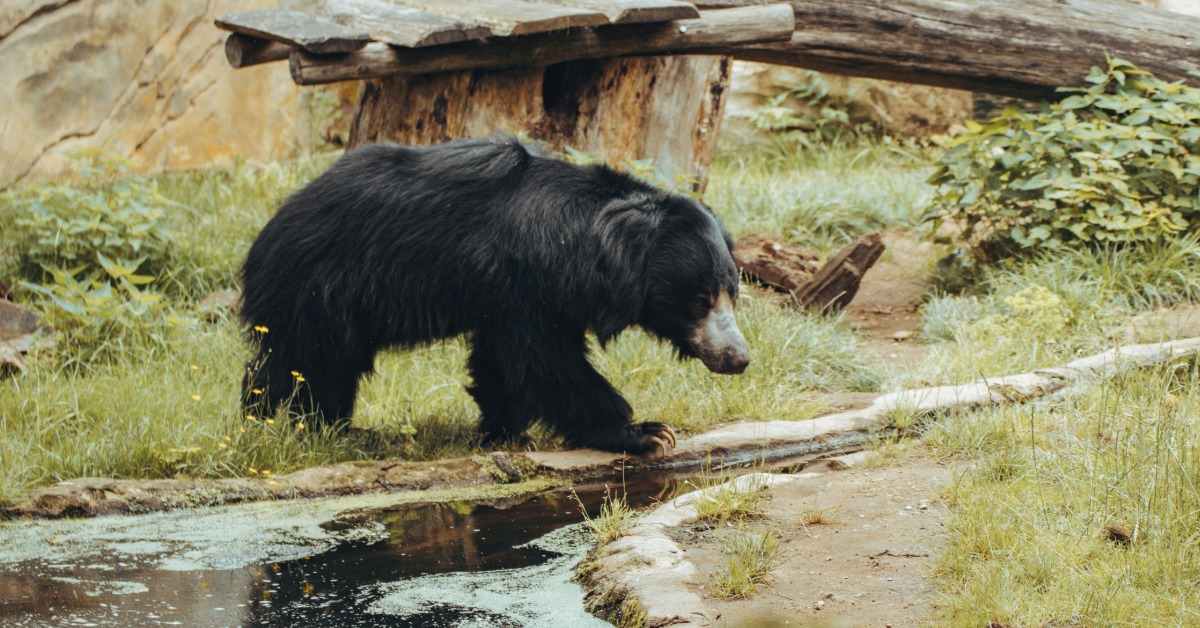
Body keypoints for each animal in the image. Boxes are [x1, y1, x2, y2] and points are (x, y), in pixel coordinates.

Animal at [240, 137, 748, 453]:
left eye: (732, 293)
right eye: (699, 300)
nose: (739, 358)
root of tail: (273, 224)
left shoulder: (520, 296)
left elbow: (500, 364)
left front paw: (503, 432)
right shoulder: (523, 283)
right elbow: (544, 361)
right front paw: (645, 432)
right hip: (319, 290)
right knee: (307, 364)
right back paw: (293, 426)